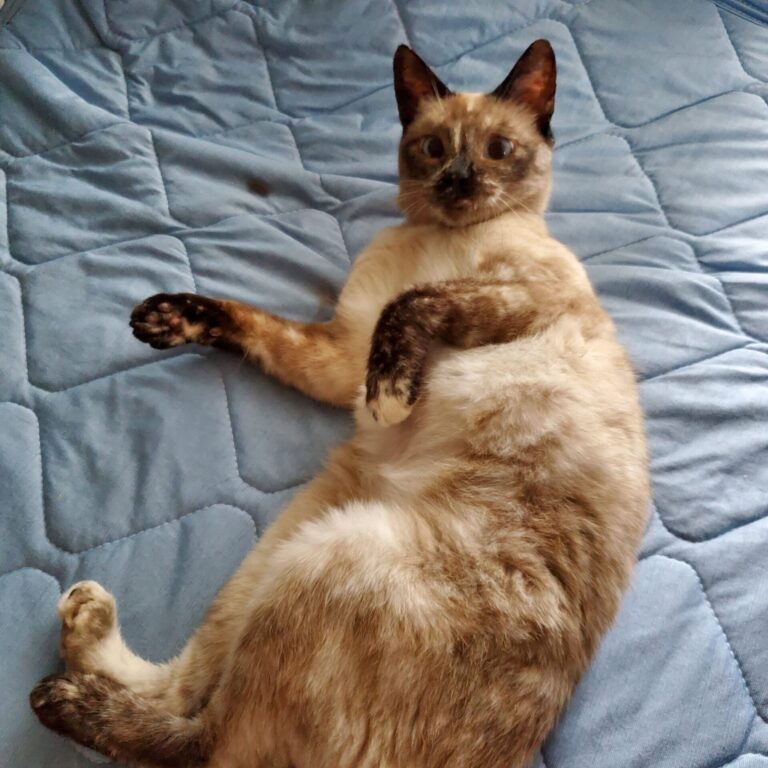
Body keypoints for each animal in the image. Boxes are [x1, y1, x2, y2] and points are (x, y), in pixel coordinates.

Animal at [30, 40, 649, 768]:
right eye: (434, 148)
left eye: (498, 149)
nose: (459, 181)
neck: (438, 234)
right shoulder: (343, 354)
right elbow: (274, 324)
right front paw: (169, 319)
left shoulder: (523, 296)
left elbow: (413, 303)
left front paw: (391, 398)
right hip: (291, 541)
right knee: (184, 699)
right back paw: (83, 631)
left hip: (324, 551)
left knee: (198, 741)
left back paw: (62, 692)